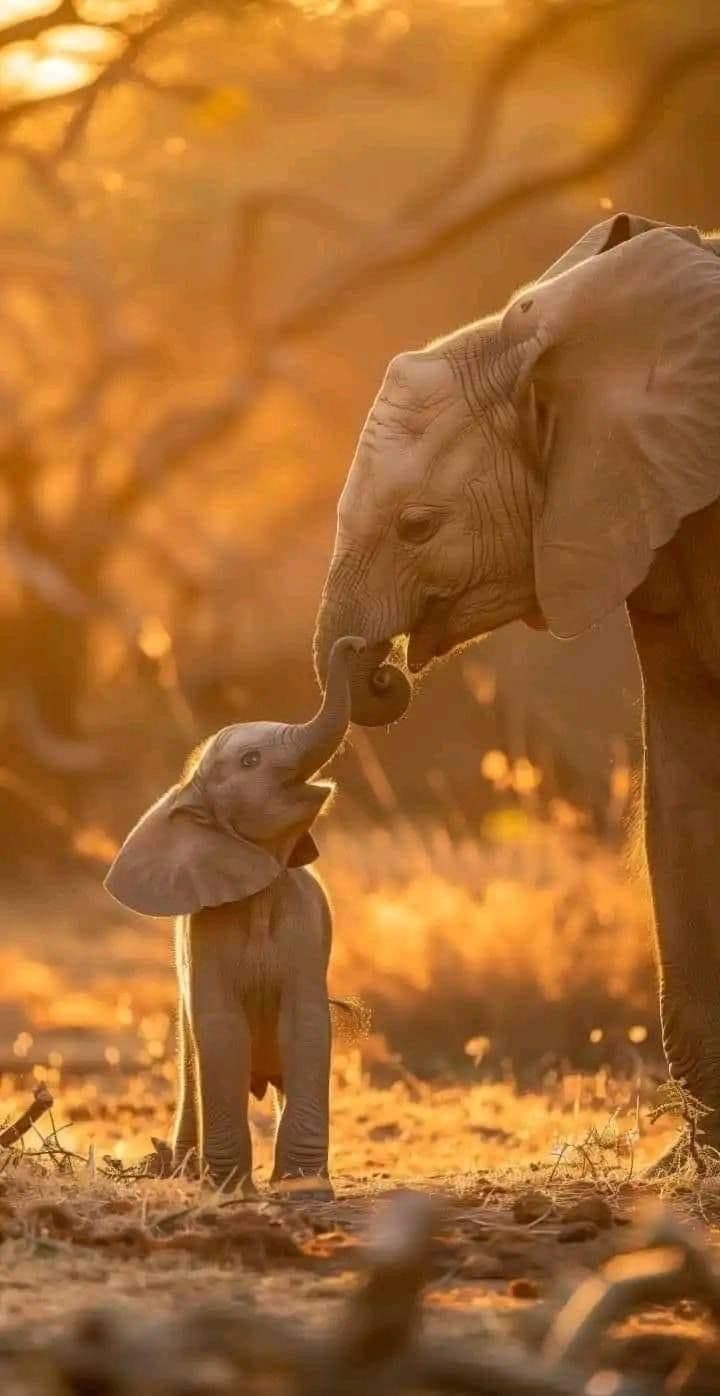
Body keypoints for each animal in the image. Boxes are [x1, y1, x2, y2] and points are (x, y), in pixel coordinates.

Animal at [104, 635, 366, 1196]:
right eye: (250, 760)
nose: (356, 644)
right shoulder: (203, 935)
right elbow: (221, 1032)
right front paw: (226, 1188)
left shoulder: (307, 932)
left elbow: (306, 1025)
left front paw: (304, 1189)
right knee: (192, 1065)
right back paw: (182, 1170)